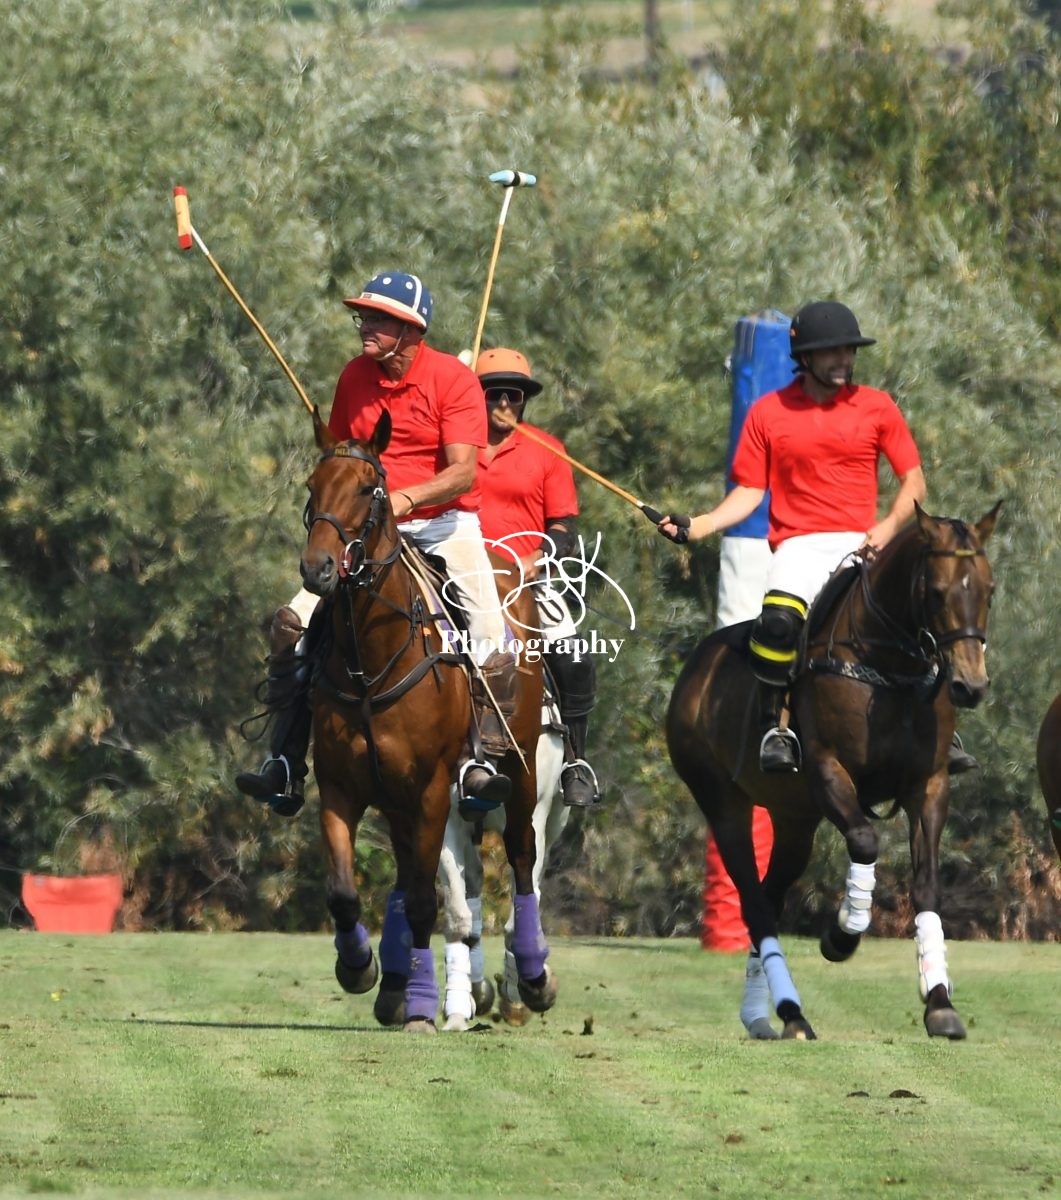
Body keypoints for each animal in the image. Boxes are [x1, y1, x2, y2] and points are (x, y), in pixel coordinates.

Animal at [438, 719, 567, 1031]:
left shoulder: (532, 819)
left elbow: (520, 907)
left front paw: (522, 995)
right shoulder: (448, 818)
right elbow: (458, 914)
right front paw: (458, 1009)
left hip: (554, 822)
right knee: (473, 883)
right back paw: (475, 990)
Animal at [667, 502, 1000, 1041]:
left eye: (988, 590)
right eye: (935, 591)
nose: (969, 686)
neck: (889, 668)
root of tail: (697, 665)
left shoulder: (929, 784)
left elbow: (927, 884)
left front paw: (940, 1003)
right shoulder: (827, 770)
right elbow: (864, 841)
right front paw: (843, 933)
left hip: (794, 820)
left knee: (770, 896)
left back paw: (763, 1013)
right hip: (723, 802)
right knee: (755, 904)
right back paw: (791, 1010)